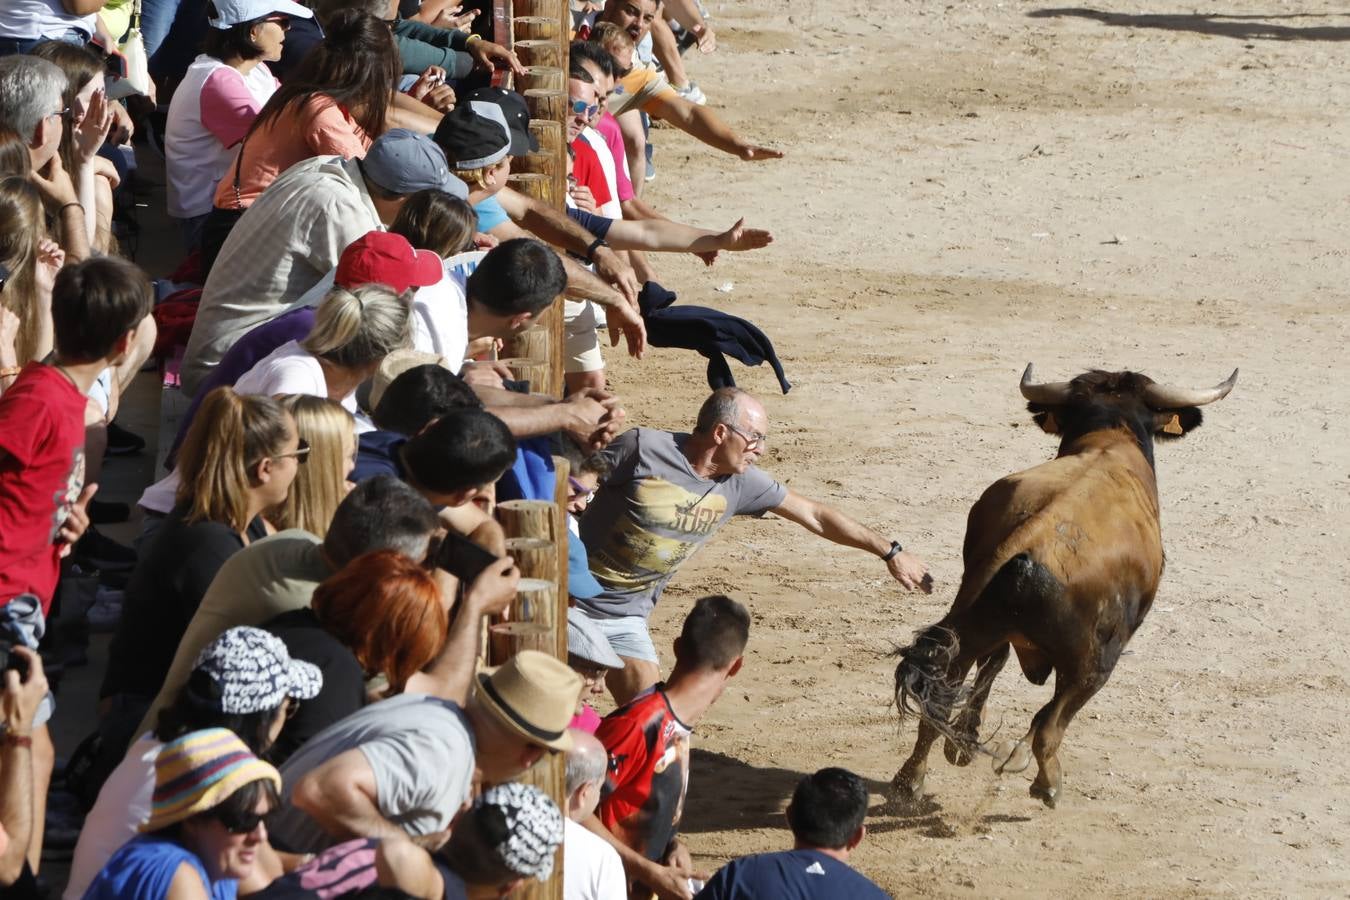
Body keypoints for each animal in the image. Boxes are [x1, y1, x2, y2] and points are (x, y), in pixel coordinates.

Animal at [891, 367, 1236, 809]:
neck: (1109, 439)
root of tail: (1031, 539)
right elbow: (1045, 715)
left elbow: (991, 669)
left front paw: (966, 744)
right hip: (1096, 660)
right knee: (1052, 722)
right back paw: (1047, 781)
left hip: (966, 634)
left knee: (941, 702)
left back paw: (912, 780)